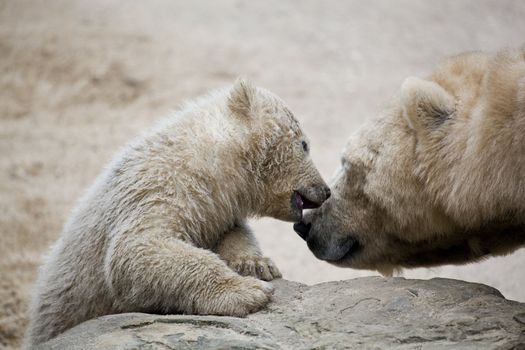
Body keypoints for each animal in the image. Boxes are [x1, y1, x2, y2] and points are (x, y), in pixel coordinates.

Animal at [26, 80, 330, 346]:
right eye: (304, 144)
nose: (326, 190)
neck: (205, 156)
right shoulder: (158, 188)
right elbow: (137, 250)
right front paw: (248, 292)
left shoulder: (212, 206)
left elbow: (232, 232)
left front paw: (256, 264)